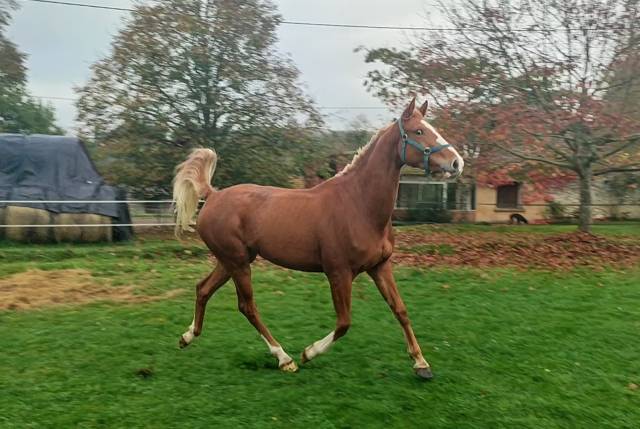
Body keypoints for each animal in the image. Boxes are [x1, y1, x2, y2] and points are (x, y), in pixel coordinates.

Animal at [174, 98, 464, 378]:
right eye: (419, 131)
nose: (456, 162)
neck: (359, 205)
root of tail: (213, 195)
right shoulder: (339, 273)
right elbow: (344, 322)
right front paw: (308, 353)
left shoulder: (380, 266)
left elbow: (400, 310)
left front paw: (421, 364)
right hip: (238, 263)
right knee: (247, 306)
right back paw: (285, 359)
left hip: (231, 261)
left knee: (203, 289)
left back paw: (187, 337)